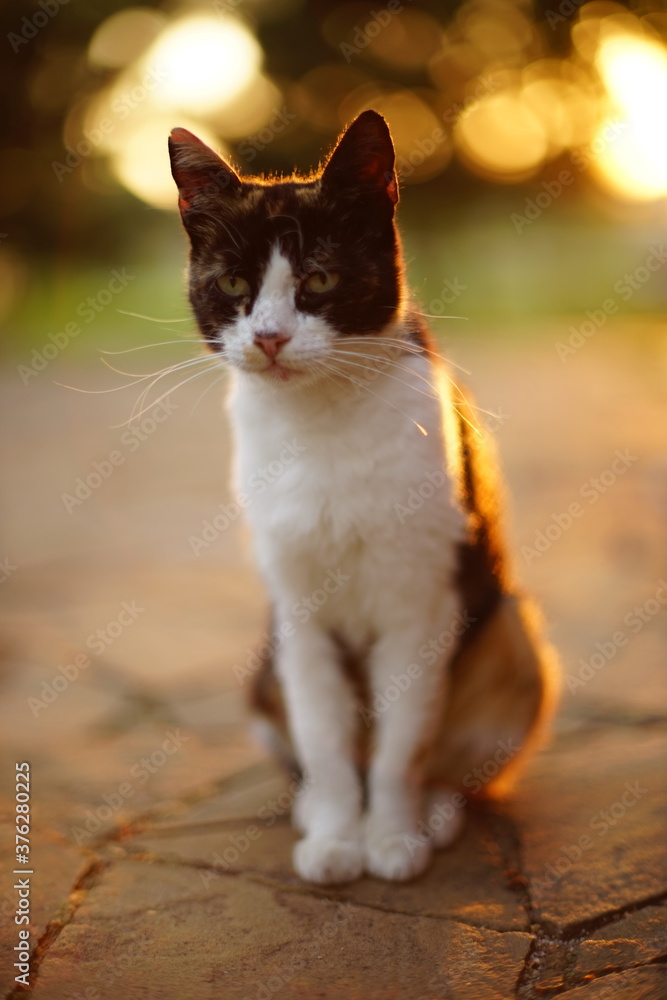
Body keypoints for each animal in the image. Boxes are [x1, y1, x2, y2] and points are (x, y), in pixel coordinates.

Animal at [167, 111, 560, 884]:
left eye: (319, 278)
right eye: (232, 282)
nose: (269, 337)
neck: (320, 425)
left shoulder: (420, 604)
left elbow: (402, 745)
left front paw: (391, 836)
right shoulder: (297, 611)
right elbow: (323, 742)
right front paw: (334, 838)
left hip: (510, 634)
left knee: (449, 757)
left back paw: (435, 812)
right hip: (265, 664)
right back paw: (315, 810)